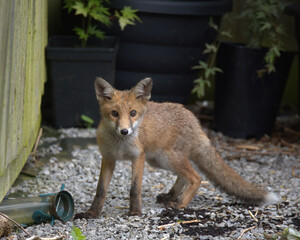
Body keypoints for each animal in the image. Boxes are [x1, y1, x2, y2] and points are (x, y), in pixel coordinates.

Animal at [74, 78, 278, 218]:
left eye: (133, 113)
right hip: (158, 160)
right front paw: (92, 213)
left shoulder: (138, 157)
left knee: (195, 177)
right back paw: (171, 196)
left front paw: (135, 212)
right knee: (184, 176)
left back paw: (180, 205)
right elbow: (100, 190)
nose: (125, 131)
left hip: (166, 158)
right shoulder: (108, 158)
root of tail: (195, 120)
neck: (120, 146)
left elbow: (134, 189)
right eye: (114, 114)